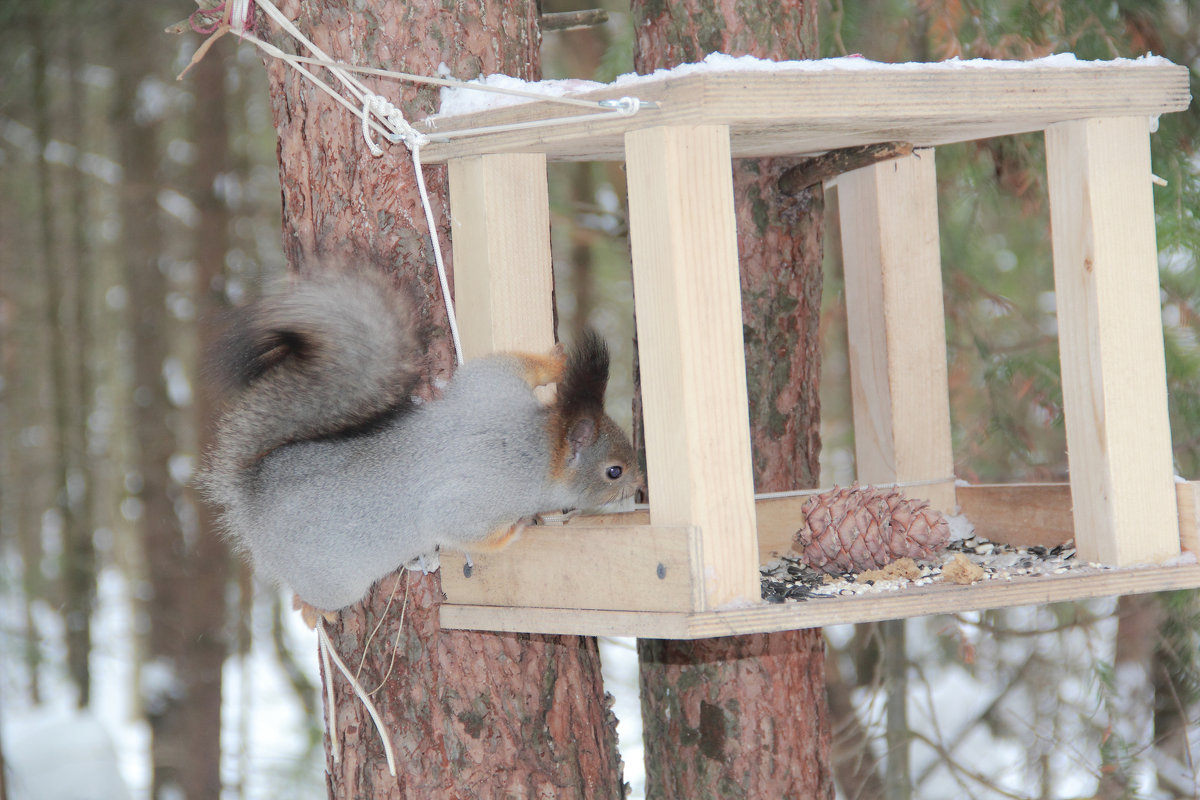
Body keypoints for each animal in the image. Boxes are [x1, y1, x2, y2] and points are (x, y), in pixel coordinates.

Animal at [201, 272, 643, 618]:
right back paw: (313, 609)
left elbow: (504, 365)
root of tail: (250, 496)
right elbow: (461, 528)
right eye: (614, 471)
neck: (532, 442)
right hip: (331, 580)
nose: (640, 485)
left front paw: (556, 362)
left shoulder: (490, 390)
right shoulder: (479, 496)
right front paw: (515, 531)